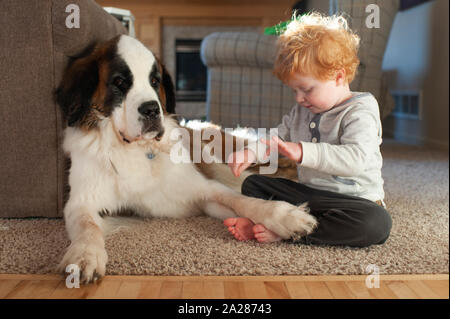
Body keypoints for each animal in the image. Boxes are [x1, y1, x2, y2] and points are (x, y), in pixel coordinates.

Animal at [56, 35, 316, 284]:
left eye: (154, 81)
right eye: (120, 82)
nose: (152, 109)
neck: (137, 149)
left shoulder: (203, 188)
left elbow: (242, 200)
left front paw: (285, 216)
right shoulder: (80, 202)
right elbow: (87, 225)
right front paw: (85, 256)